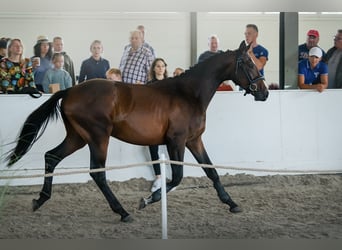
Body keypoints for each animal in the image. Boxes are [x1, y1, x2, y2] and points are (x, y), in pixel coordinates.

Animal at [4, 41, 268, 223]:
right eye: (248, 63)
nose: (264, 92)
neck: (189, 94)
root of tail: (69, 91)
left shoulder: (194, 140)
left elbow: (212, 172)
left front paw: (232, 203)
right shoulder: (176, 141)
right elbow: (177, 177)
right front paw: (147, 200)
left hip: (77, 137)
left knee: (52, 156)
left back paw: (39, 200)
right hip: (98, 137)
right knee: (97, 173)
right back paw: (123, 212)